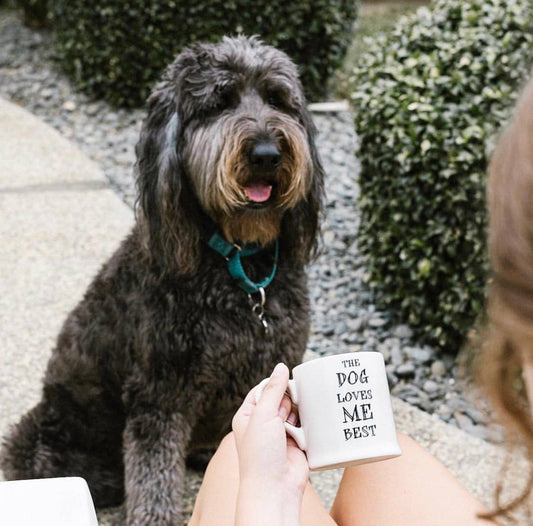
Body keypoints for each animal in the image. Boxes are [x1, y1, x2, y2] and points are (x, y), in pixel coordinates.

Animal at [0, 35, 322, 524]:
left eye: (277, 99)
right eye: (219, 102)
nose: (267, 153)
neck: (237, 263)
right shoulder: (158, 393)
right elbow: (154, 473)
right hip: (48, 434)